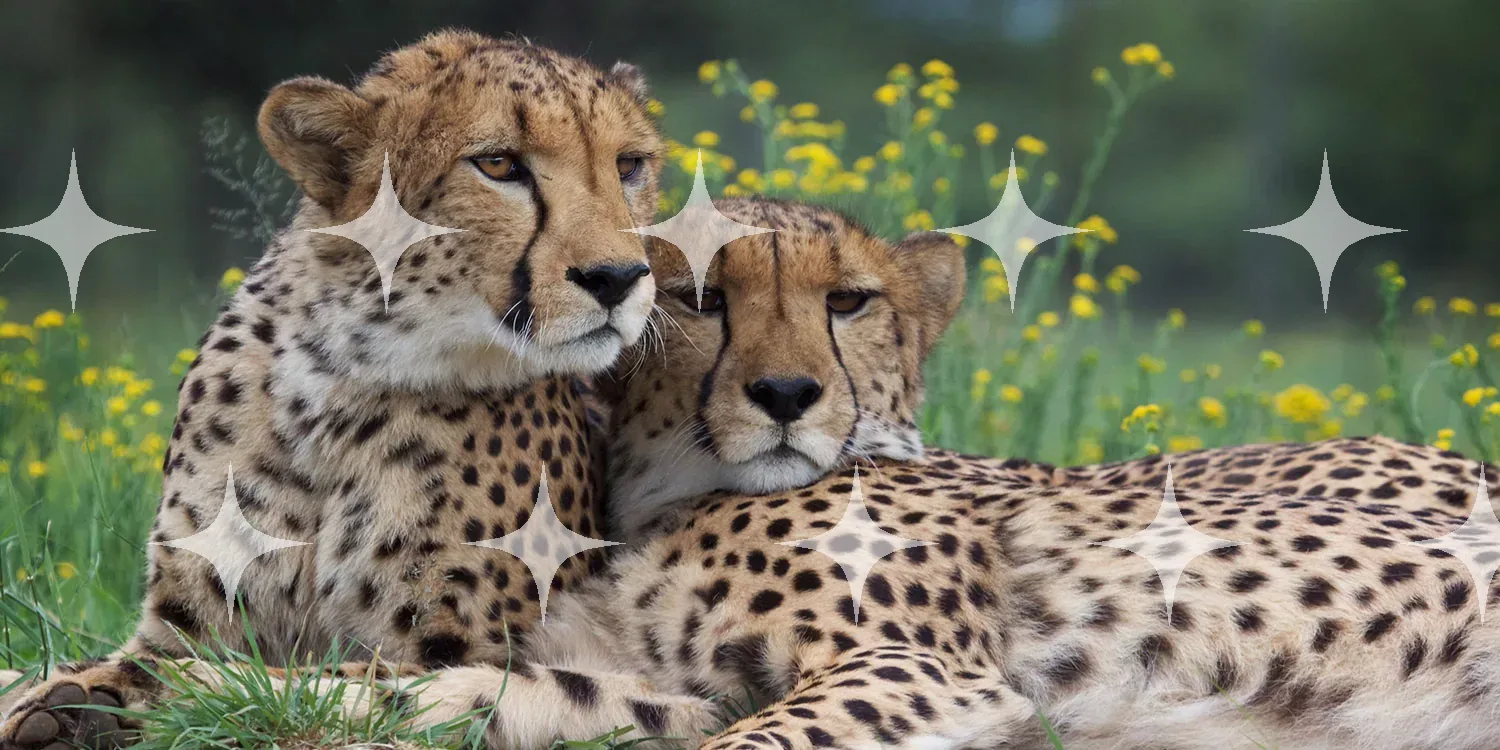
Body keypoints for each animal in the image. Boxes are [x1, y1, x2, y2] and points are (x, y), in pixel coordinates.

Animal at [0, 28, 671, 749]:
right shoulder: (184, 624)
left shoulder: (472, 649)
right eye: (497, 164)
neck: (339, 378)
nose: (617, 277)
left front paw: (93, 701)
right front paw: (73, 697)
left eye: (629, 165)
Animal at [365, 198, 1500, 749]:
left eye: (848, 301)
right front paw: (328, 689)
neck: (669, 495)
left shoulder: (924, 671)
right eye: (701, 299)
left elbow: (747, 745)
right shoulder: (676, 686)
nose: (787, 394)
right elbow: (492, 687)